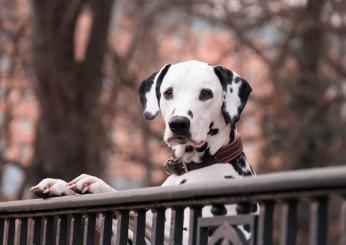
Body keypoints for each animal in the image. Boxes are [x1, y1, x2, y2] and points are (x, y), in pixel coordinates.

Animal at [30, 60, 256, 244]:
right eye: (168, 92)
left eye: (206, 93)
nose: (178, 124)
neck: (191, 167)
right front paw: (60, 186)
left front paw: (98, 185)